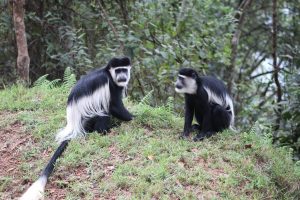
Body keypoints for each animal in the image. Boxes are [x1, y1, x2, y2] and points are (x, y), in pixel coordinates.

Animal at [20, 56, 133, 200]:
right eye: (118, 70)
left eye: (124, 70)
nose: (122, 76)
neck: (109, 74)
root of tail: (73, 126)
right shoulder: (110, 86)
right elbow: (114, 105)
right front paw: (135, 117)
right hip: (89, 117)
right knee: (103, 111)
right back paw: (105, 131)